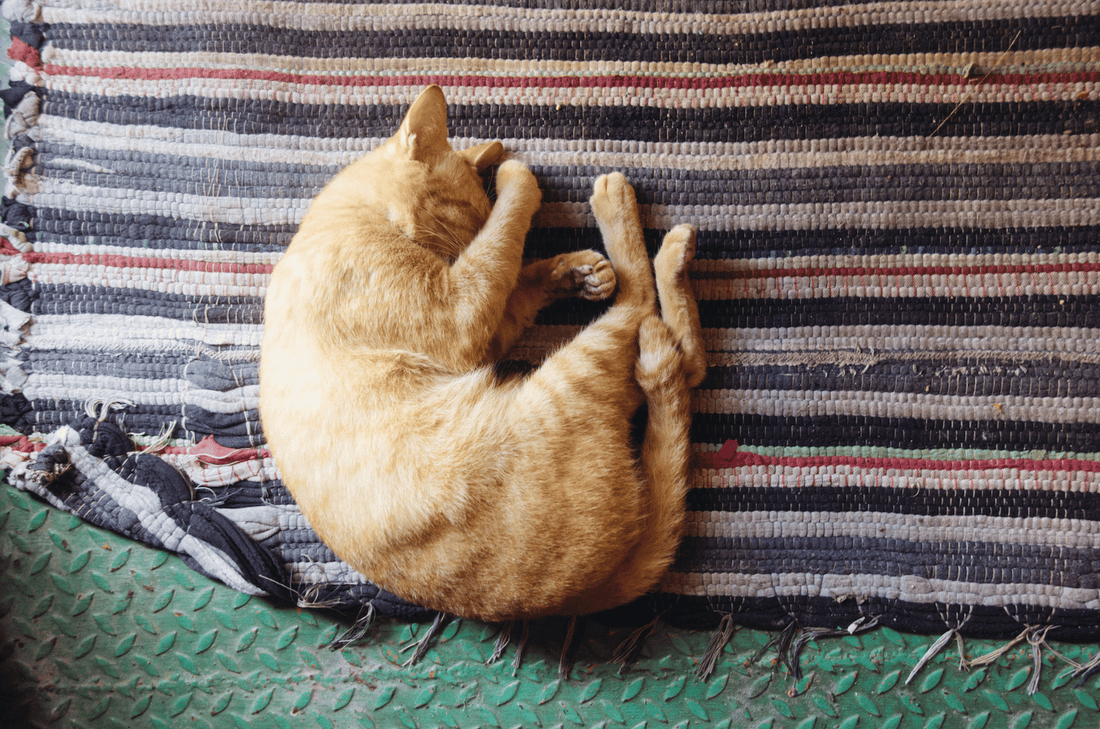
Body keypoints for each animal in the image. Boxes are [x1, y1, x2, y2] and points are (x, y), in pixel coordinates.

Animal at [257, 85, 704, 620]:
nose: (469, 238)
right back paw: (636, 223)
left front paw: (573, 270)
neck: (349, 219)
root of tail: (577, 598)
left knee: (682, 360)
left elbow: (515, 275)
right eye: (466, 210)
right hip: (574, 372)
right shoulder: (461, 313)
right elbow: (503, 245)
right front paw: (520, 183)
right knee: (650, 317)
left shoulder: (483, 322)